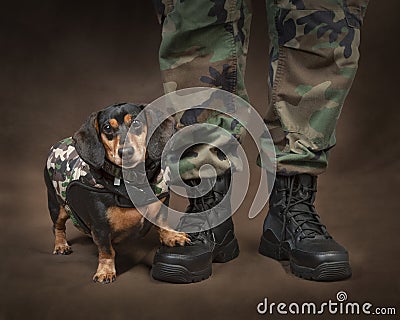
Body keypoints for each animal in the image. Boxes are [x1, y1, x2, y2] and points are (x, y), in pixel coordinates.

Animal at [44, 102, 188, 282]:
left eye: (136, 122)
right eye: (107, 128)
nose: (125, 152)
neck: (133, 180)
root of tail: (57, 144)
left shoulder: (161, 203)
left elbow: (162, 222)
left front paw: (172, 236)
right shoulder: (100, 226)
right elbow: (106, 250)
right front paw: (105, 271)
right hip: (57, 205)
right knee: (58, 227)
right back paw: (61, 245)